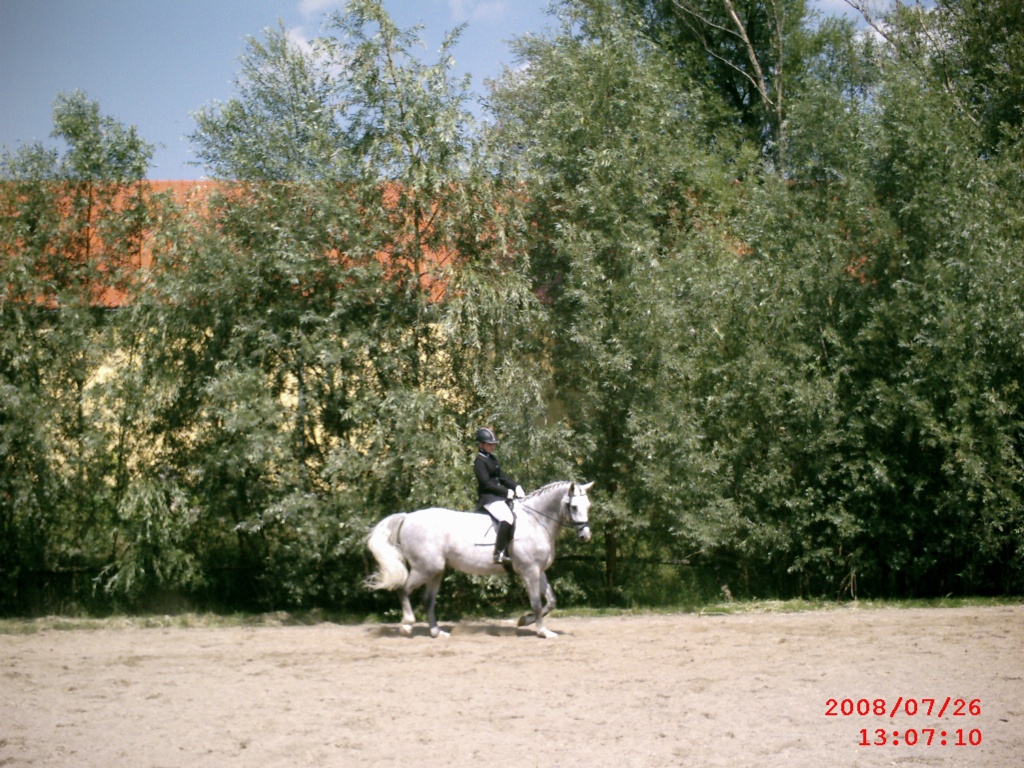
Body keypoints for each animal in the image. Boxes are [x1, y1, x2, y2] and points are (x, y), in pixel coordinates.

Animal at [365, 480, 593, 639]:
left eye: (588, 506)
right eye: (574, 507)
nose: (585, 536)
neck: (536, 521)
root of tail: (407, 517)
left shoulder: (539, 570)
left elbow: (551, 601)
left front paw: (524, 621)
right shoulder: (529, 571)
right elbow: (537, 603)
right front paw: (542, 632)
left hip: (436, 570)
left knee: (428, 600)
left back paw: (437, 632)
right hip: (424, 568)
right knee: (403, 589)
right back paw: (406, 625)